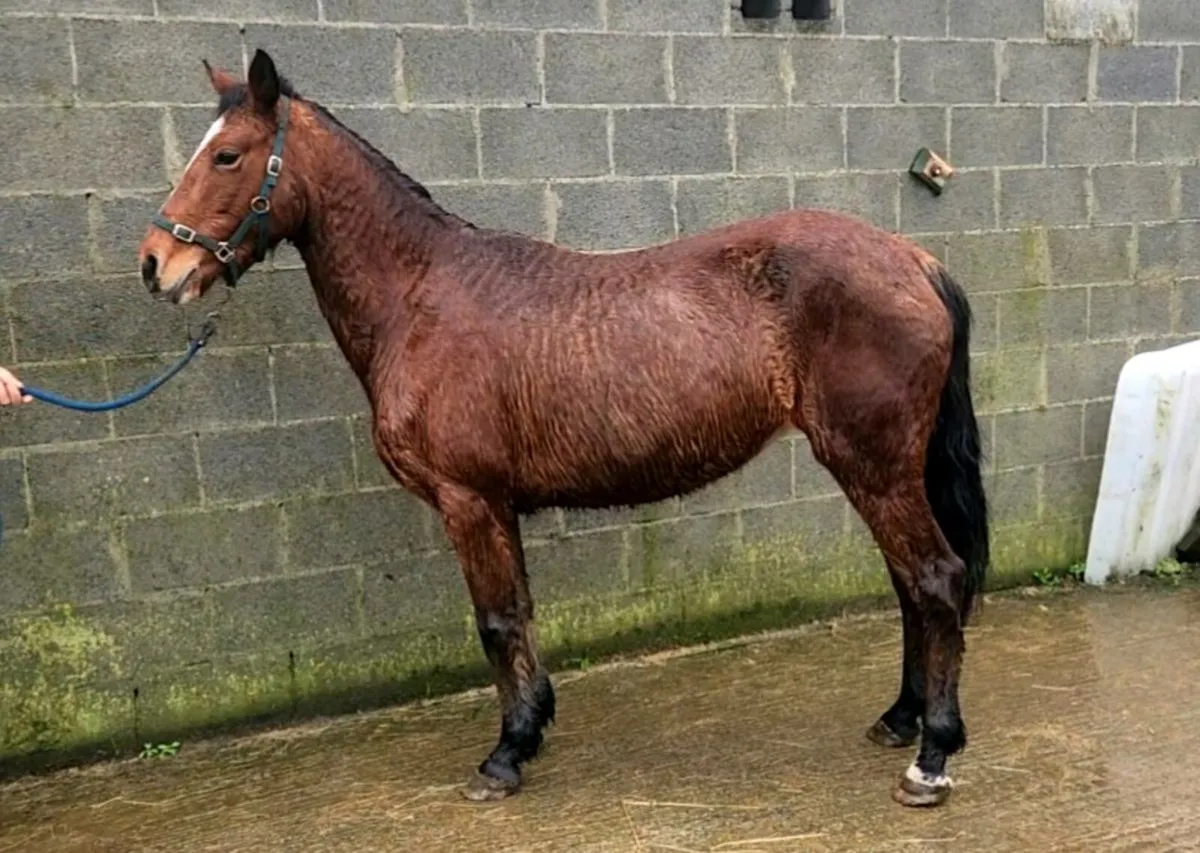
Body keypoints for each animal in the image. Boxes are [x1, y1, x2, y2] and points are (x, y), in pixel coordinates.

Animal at [136, 49, 989, 809]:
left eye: (229, 156)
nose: (156, 265)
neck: (421, 292)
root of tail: (913, 261)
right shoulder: (494, 504)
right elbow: (518, 614)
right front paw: (532, 727)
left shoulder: (469, 500)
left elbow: (497, 621)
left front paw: (505, 754)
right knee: (910, 585)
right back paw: (901, 717)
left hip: (873, 465)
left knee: (935, 578)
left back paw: (931, 756)